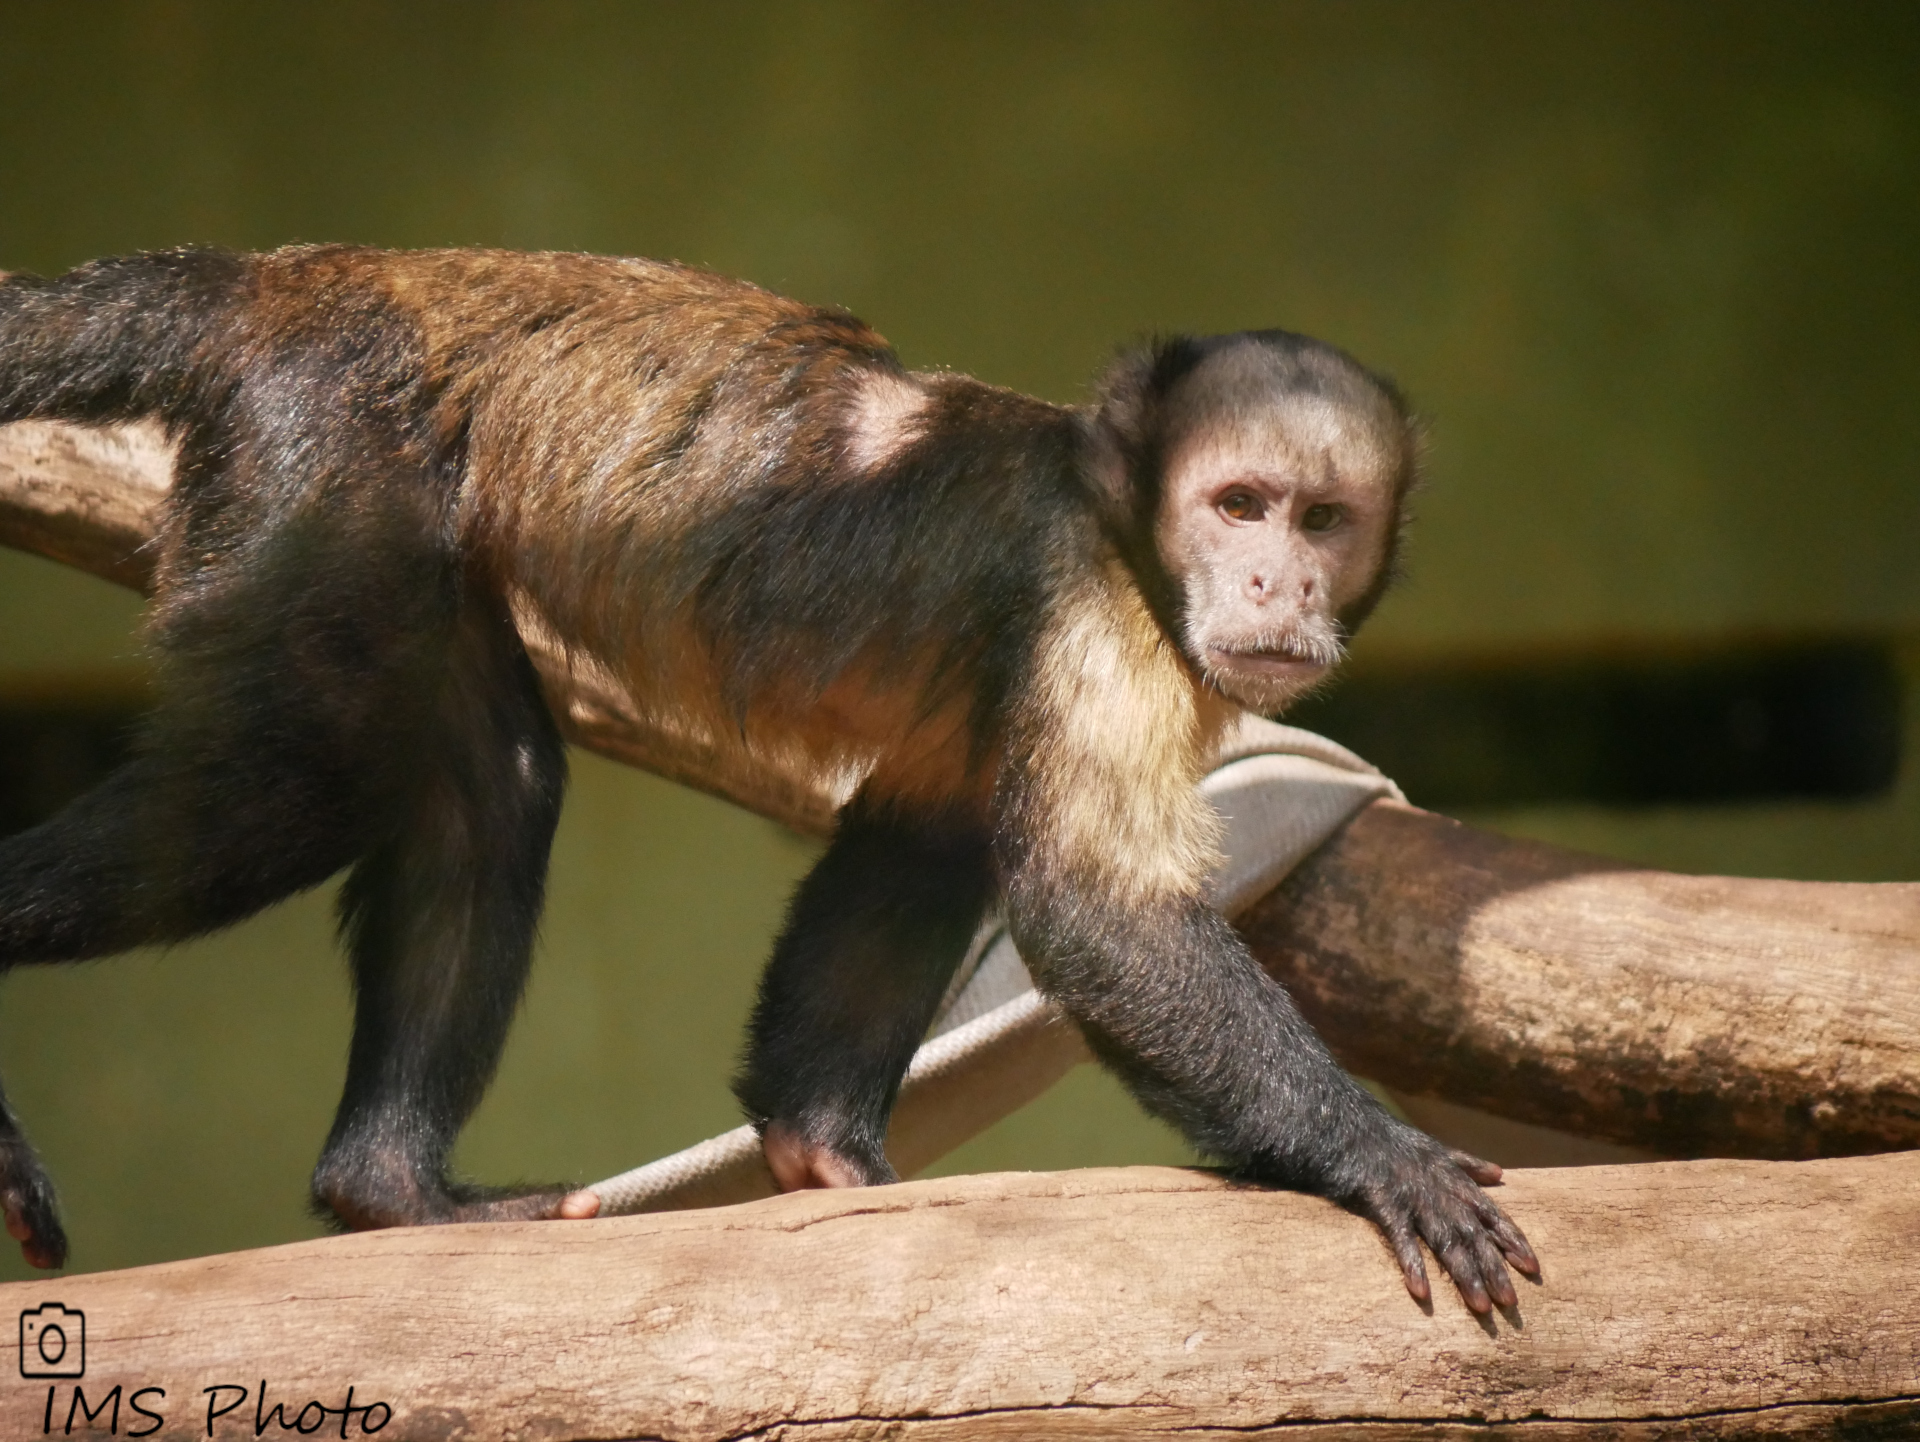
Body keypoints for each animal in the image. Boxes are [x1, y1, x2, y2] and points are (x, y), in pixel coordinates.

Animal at [0, 245, 1536, 1305]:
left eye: (1323, 519)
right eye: (1239, 507)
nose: (1279, 580)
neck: (1114, 511)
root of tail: (287, 280)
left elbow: (925, 830)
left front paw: (819, 1154)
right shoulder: (1095, 604)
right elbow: (1092, 910)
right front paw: (1379, 1157)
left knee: (490, 783)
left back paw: (389, 1190)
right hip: (319, 458)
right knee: (287, 782)